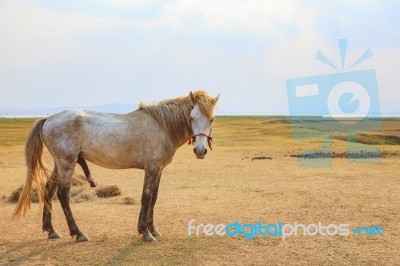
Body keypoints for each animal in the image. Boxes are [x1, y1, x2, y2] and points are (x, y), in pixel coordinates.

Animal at [13, 90, 219, 242]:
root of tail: (48, 119)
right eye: (192, 118)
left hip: (60, 164)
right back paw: (78, 233)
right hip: (66, 163)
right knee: (63, 195)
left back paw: (51, 230)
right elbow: (146, 198)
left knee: (48, 190)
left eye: (212, 119)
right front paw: (145, 232)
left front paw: (153, 229)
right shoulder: (151, 169)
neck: (162, 127)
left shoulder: (158, 170)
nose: (200, 150)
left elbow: (153, 198)